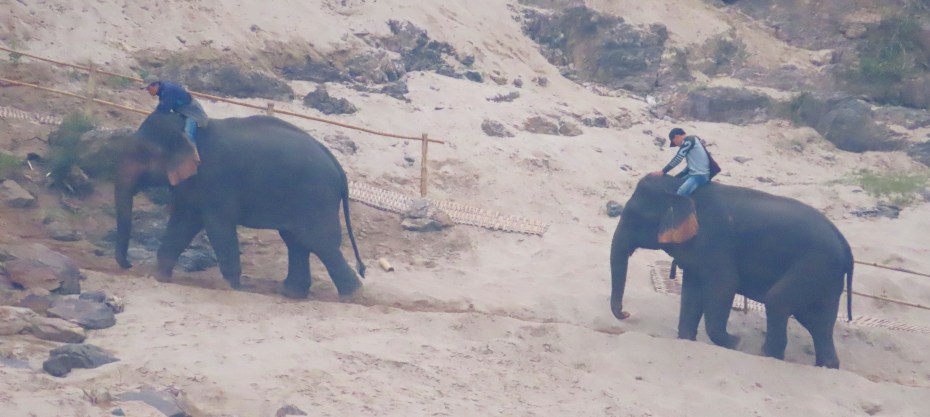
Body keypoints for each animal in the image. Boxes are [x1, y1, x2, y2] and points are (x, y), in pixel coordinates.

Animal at [115, 111, 365, 299]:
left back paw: (352, 295)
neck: (189, 129)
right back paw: (290, 292)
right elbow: (183, 221)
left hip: (316, 197)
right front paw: (159, 277)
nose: (128, 265)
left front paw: (230, 287)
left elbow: (218, 227)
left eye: (143, 153)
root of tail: (339, 168)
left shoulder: (217, 181)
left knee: (319, 242)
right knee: (296, 241)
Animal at [609, 175, 853, 368]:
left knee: (777, 301)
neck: (680, 187)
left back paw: (765, 354)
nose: (626, 313)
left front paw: (737, 342)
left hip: (814, 265)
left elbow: (724, 286)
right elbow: (691, 291)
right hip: (826, 275)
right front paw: (687, 338)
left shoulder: (715, 242)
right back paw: (826, 365)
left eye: (635, 216)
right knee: (818, 321)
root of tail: (844, 243)